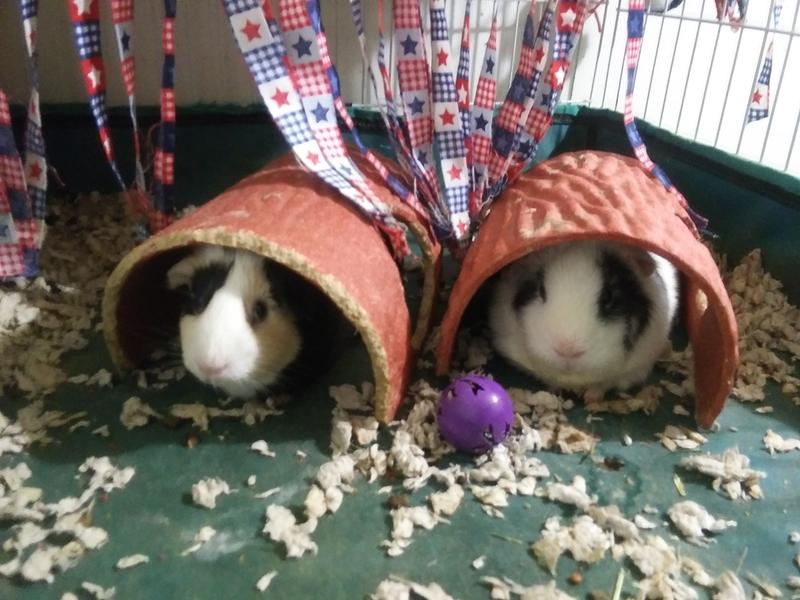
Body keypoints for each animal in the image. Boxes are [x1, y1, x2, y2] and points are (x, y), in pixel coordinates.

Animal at [488, 241, 679, 401]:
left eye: (608, 296)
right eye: (540, 290)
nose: (567, 350)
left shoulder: (637, 365)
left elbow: (605, 383)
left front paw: (591, 398)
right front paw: (556, 391)